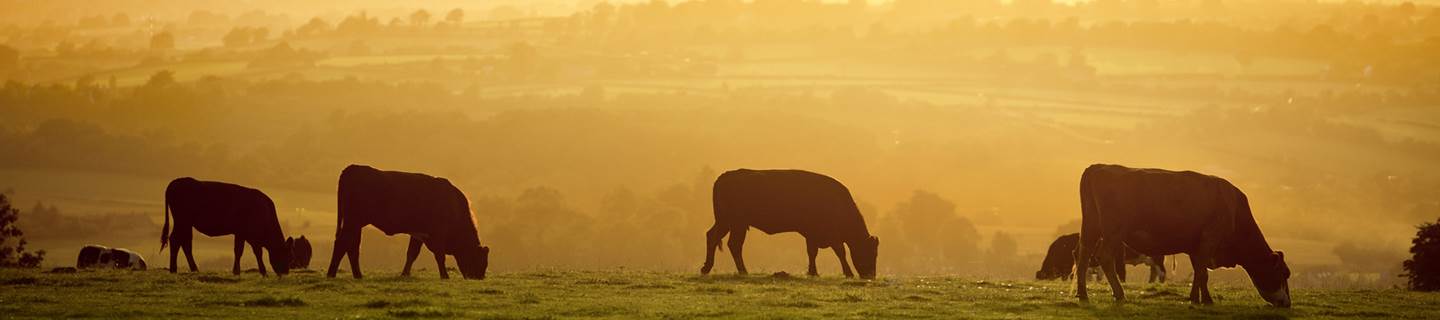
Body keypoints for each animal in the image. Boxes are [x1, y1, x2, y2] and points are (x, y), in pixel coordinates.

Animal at [163, 176, 292, 276]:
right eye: (287, 255)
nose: (285, 272)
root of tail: (176, 181)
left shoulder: (241, 233)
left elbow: (239, 251)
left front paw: (236, 271)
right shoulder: (250, 235)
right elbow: (254, 251)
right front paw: (262, 271)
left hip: (186, 223)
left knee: (184, 242)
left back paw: (192, 269)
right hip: (182, 221)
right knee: (176, 240)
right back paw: (175, 269)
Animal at [326, 165, 489, 279]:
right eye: (480, 260)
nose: (479, 277)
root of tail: (353, 168)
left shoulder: (418, 234)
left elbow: (412, 254)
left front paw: (405, 274)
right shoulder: (438, 234)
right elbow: (439, 255)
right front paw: (445, 276)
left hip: (355, 223)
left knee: (351, 246)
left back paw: (356, 275)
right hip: (353, 221)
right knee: (343, 243)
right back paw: (333, 274)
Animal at [696, 168, 875, 278]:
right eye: (869, 252)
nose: (871, 276)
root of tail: (725, 176)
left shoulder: (812, 234)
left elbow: (813, 252)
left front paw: (813, 272)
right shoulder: (826, 234)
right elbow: (839, 251)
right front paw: (848, 273)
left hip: (726, 222)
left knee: (713, 236)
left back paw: (706, 268)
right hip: (736, 223)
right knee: (734, 244)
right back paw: (742, 271)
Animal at [1071, 165, 1296, 307]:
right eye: (1284, 273)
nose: (1287, 303)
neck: (1233, 210)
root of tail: (1099, 167)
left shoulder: (1196, 246)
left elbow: (1199, 272)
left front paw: (1198, 298)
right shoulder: (1209, 239)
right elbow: (1203, 273)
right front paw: (1204, 300)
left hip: (1091, 227)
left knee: (1082, 256)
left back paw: (1083, 295)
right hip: (1113, 231)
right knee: (1104, 258)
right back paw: (1119, 294)